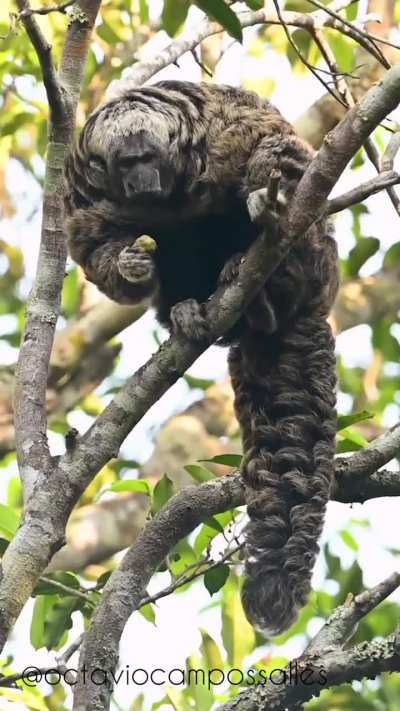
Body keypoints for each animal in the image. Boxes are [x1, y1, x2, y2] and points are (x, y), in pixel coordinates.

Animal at [64, 80, 339, 636]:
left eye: (148, 158)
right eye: (125, 165)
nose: (142, 182)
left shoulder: (227, 129)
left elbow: (278, 151)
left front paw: (264, 198)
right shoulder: (85, 190)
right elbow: (95, 247)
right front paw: (130, 264)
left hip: (314, 264)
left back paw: (260, 286)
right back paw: (193, 310)